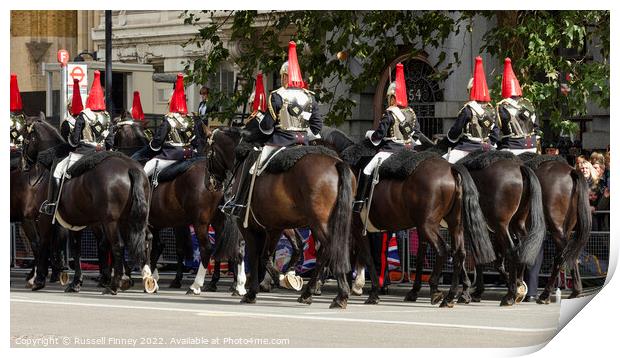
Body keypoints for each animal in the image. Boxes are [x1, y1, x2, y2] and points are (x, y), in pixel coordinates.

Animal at [21, 114, 157, 294]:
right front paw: (75, 282)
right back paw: (146, 278)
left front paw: (39, 279)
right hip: (134, 218)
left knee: (118, 245)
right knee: (145, 239)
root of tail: (130, 168)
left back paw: (115, 284)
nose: (24, 165)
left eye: (24, 136)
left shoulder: (45, 218)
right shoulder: (75, 222)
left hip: (112, 221)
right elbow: (76, 249)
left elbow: (44, 243)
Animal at [207, 127, 354, 310]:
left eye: (209, 153)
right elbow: (279, 252)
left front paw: (258, 289)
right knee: (328, 251)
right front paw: (283, 277)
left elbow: (257, 255)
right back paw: (314, 293)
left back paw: (336, 294)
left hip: (319, 223)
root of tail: (337, 162)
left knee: (329, 249)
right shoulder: (276, 226)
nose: (211, 183)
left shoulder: (248, 226)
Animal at [520, 154, 592, 302]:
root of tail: (571, 171)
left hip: (556, 228)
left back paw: (546, 294)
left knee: (562, 256)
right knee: (569, 254)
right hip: (565, 230)